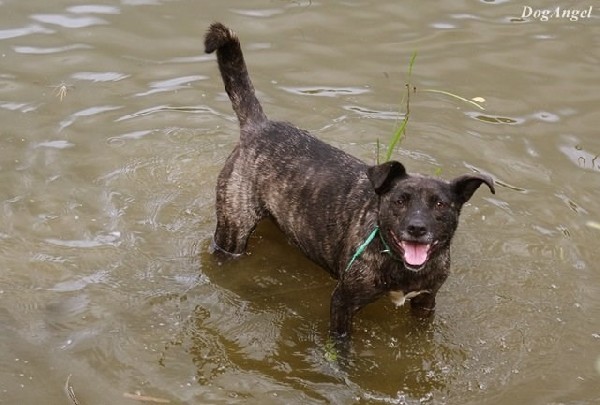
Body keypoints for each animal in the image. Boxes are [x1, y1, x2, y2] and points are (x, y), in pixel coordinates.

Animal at [204, 22, 494, 340]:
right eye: (400, 200)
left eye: (440, 204)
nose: (417, 228)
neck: (397, 262)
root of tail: (258, 126)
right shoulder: (342, 302)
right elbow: (342, 345)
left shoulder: (426, 302)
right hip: (232, 233)